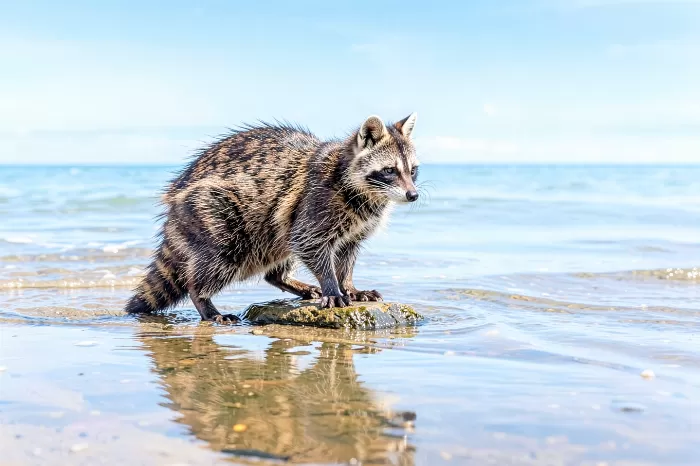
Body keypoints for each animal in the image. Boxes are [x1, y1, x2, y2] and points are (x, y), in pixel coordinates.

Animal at [124, 113, 420, 322]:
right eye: (390, 170)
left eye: (413, 170)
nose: (413, 195)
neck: (366, 193)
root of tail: (173, 204)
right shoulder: (316, 202)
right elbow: (309, 242)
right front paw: (332, 287)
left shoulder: (357, 226)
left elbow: (346, 255)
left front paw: (349, 285)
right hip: (214, 213)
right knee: (219, 257)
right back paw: (203, 300)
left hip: (268, 228)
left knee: (279, 251)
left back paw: (284, 279)